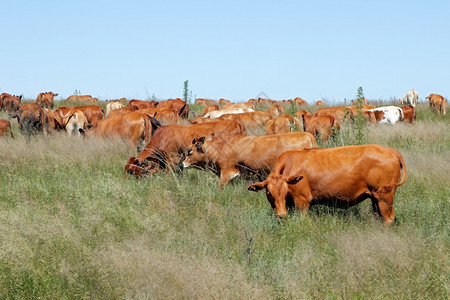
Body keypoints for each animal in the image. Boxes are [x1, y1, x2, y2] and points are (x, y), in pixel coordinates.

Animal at [248, 145, 406, 225]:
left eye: (285, 191)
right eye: (269, 193)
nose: (281, 215)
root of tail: (389, 150)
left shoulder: (302, 202)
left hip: (384, 197)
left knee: (389, 218)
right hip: (375, 198)